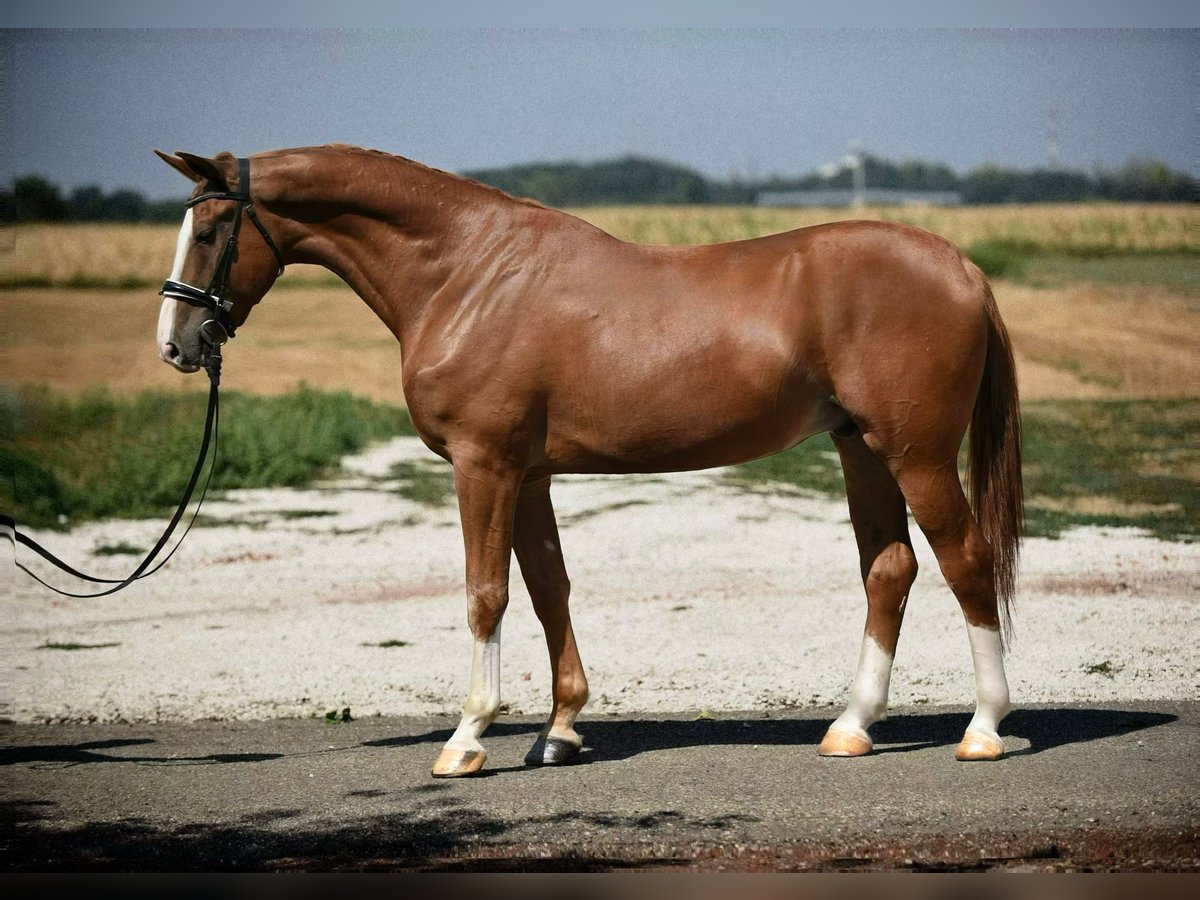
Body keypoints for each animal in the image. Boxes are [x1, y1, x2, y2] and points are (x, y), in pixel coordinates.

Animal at [157, 144, 1022, 777]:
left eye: (210, 232)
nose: (176, 345)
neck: (467, 275)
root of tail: (960, 266)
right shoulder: (528, 474)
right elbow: (549, 590)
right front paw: (562, 730)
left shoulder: (483, 465)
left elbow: (485, 594)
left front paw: (466, 740)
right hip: (861, 448)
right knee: (890, 570)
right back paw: (851, 727)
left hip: (916, 454)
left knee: (967, 561)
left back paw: (983, 729)